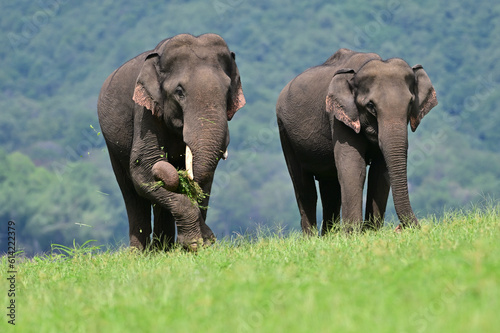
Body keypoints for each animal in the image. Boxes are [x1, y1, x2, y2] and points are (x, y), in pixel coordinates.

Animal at [96, 34, 245, 252]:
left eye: (227, 90)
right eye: (179, 92)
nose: (211, 239)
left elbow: (203, 181)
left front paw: (202, 243)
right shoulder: (146, 111)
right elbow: (144, 167)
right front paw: (194, 244)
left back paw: (161, 250)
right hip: (112, 144)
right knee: (130, 192)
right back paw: (140, 253)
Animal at [278, 48, 438, 233]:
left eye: (411, 103)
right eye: (371, 106)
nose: (400, 228)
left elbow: (379, 172)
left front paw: (370, 232)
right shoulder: (338, 117)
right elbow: (353, 167)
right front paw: (353, 234)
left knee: (330, 187)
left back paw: (329, 236)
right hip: (284, 132)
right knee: (304, 187)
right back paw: (312, 237)